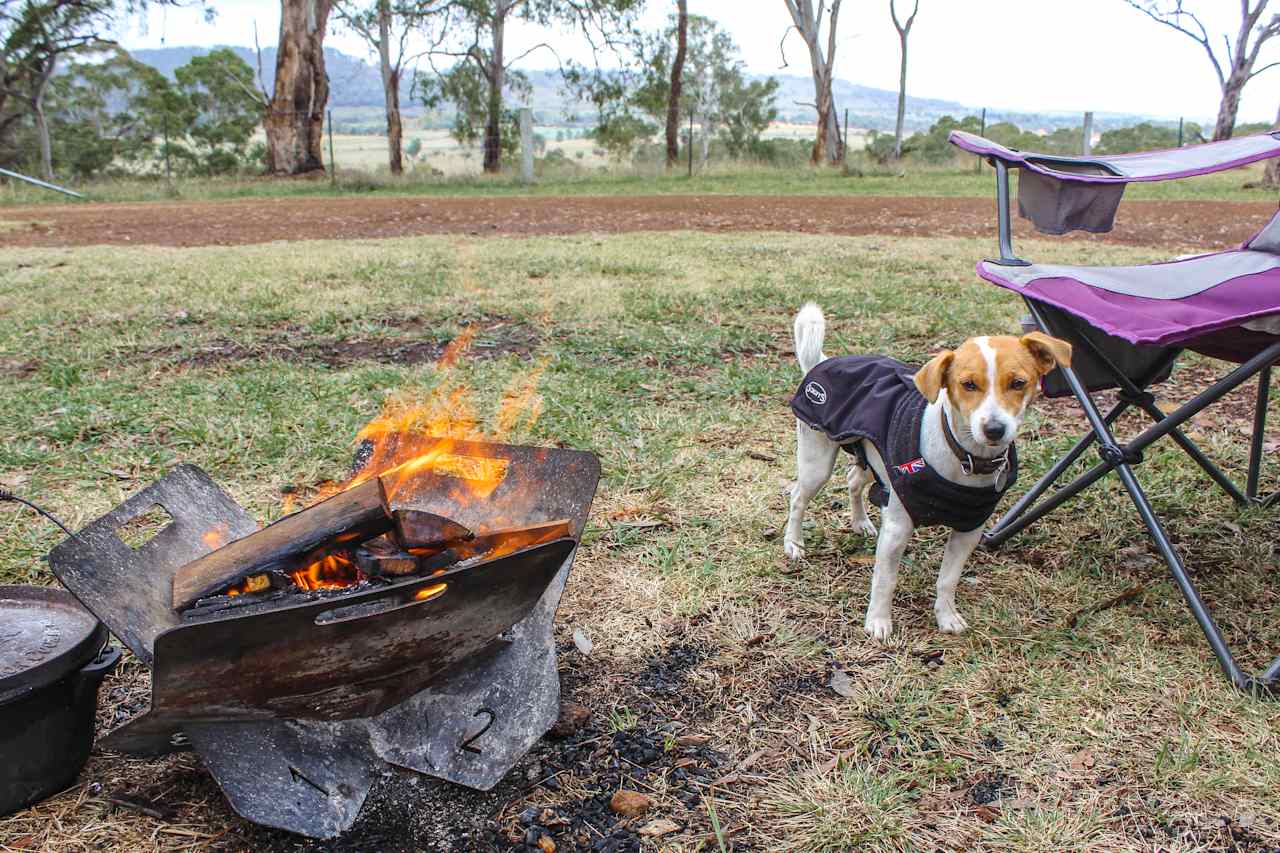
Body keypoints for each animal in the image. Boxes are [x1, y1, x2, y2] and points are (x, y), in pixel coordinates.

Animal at [783, 302, 1075, 635]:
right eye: (968, 385)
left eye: (1018, 383)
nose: (994, 429)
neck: (964, 457)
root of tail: (822, 363)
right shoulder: (898, 527)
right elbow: (885, 579)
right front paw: (878, 621)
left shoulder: (968, 531)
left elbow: (948, 580)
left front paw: (946, 616)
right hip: (817, 462)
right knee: (798, 498)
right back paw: (793, 543)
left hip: (873, 459)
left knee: (854, 479)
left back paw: (861, 522)